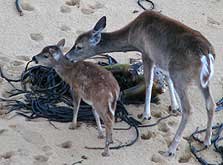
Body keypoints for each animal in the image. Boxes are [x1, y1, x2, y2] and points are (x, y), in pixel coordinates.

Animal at [65, 10, 216, 155]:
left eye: (79, 46)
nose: (66, 56)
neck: (133, 35)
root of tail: (206, 54)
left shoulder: (146, 53)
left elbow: (149, 82)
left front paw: (146, 114)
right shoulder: (161, 58)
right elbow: (166, 78)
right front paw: (174, 106)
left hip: (180, 75)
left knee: (188, 109)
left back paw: (171, 149)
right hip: (202, 80)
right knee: (211, 103)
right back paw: (206, 141)